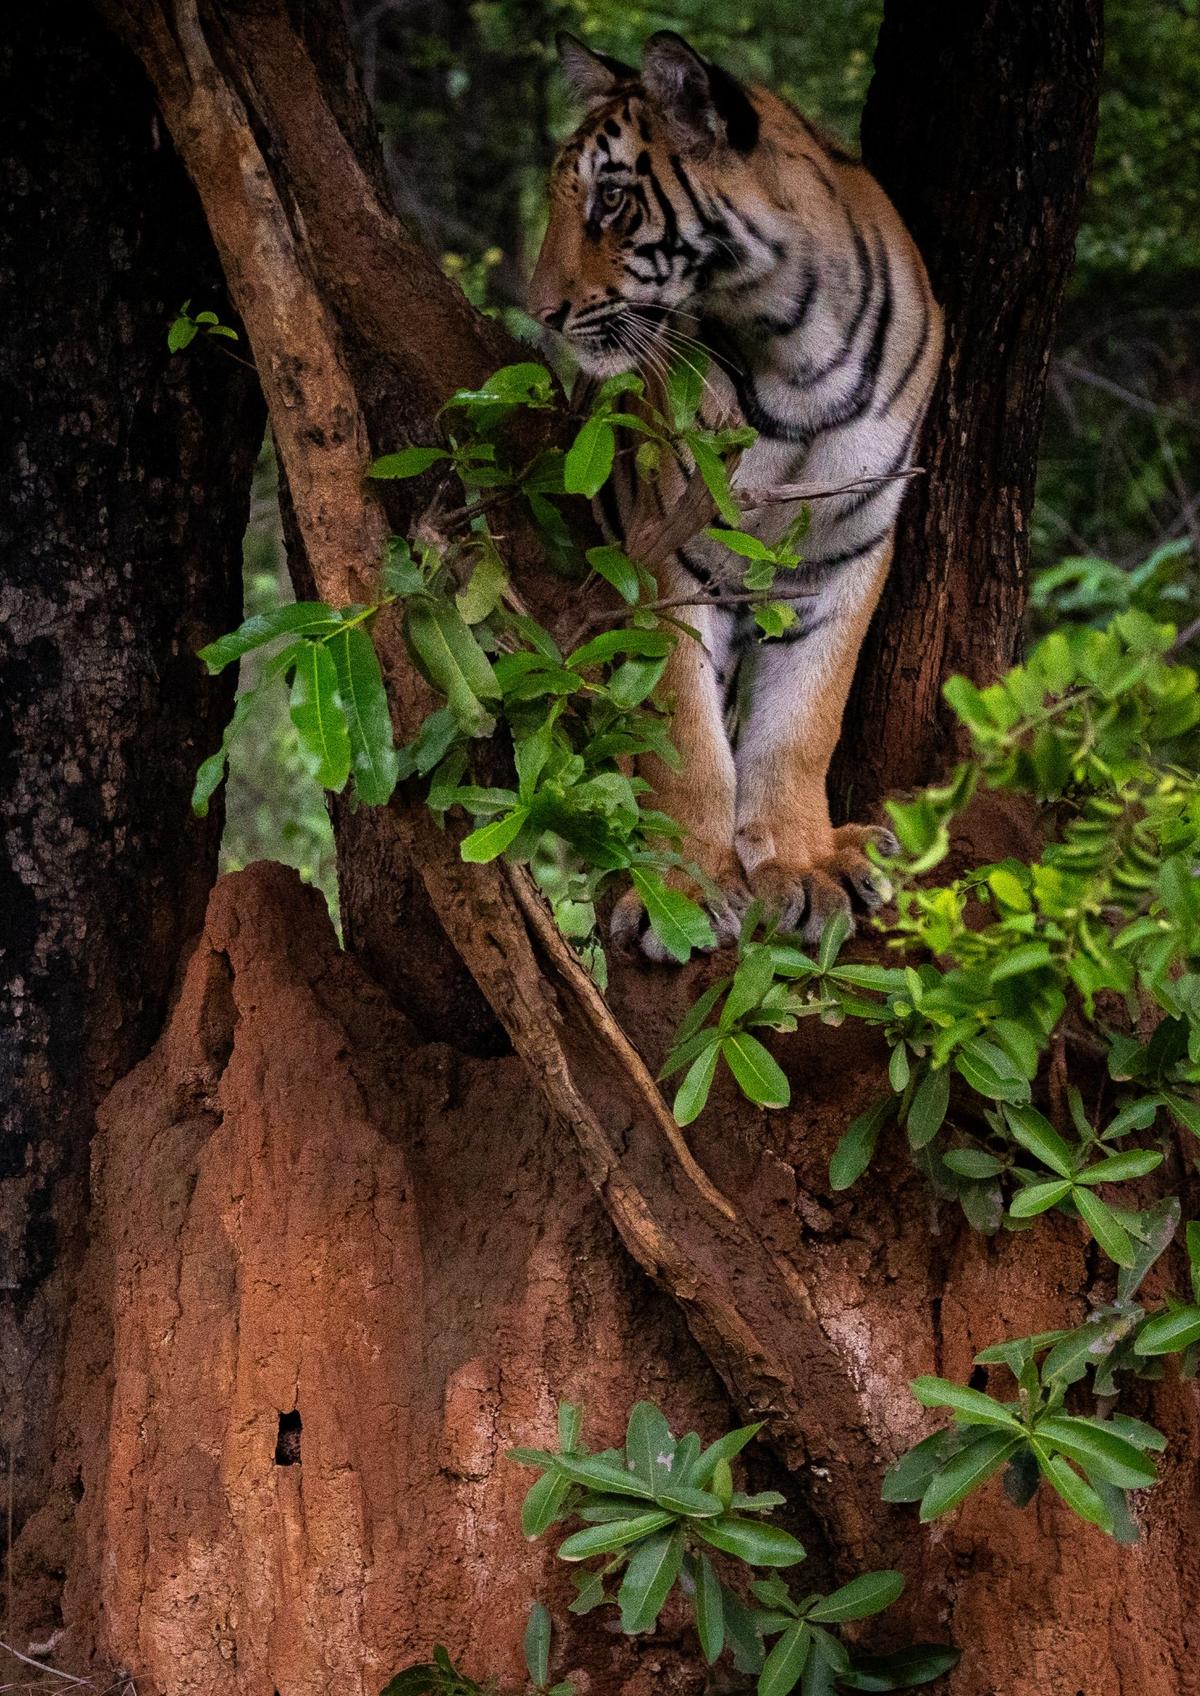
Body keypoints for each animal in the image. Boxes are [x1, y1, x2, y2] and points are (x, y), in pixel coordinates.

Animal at [528, 30, 943, 958]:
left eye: (611, 201)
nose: (539, 312)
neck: (793, 350)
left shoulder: (850, 552)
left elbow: (801, 723)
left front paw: (803, 863)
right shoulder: (670, 557)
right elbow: (683, 736)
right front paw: (678, 891)